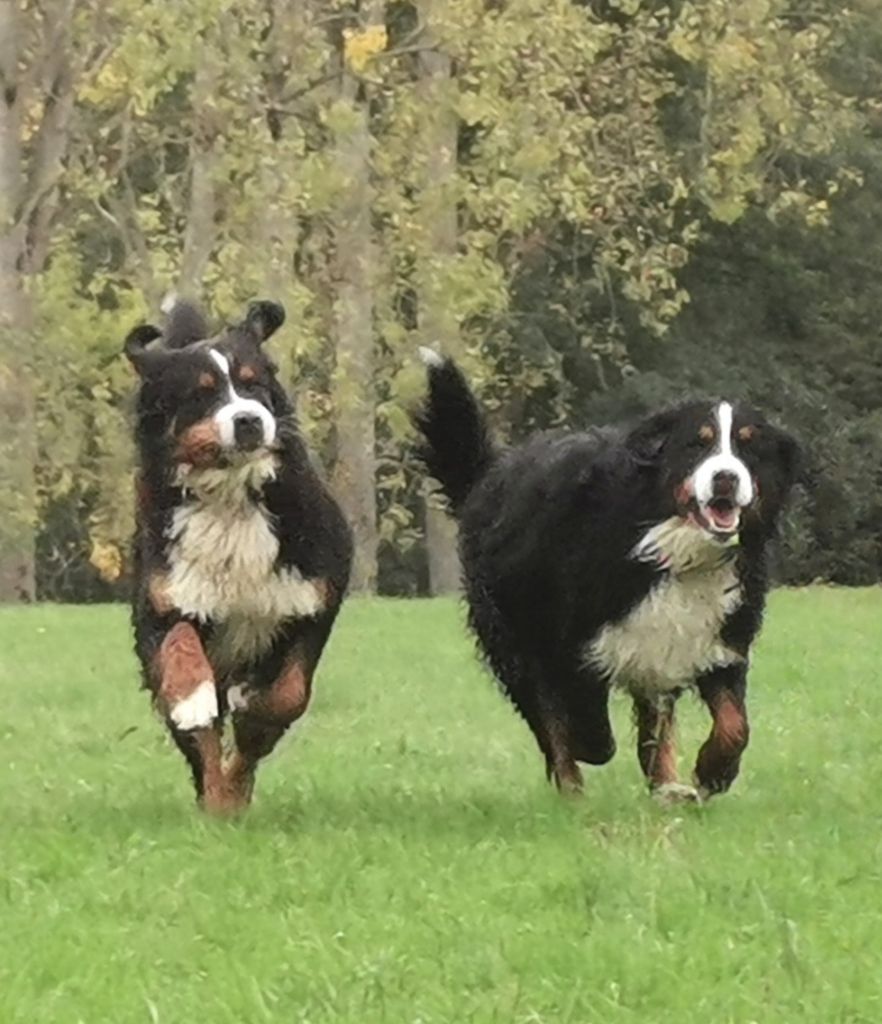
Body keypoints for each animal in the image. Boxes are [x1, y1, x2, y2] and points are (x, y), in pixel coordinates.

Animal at [126, 299, 350, 815]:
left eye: (253, 384)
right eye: (202, 393)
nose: (248, 419)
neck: (232, 497)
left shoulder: (311, 604)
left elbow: (285, 696)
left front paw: (254, 710)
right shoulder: (164, 599)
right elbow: (180, 649)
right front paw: (192, 698)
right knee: (204, 748)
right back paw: (218, 801)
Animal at [415, 352, 803, 798]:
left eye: (748, 446)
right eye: (698, 443)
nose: (726, 476)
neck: (669, 546)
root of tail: (490, 473)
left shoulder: (718, 641)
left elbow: (734, 724)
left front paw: (713, 772)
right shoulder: (569, 643)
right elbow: (585, 729)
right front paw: (589, 747)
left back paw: (666, 787)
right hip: (515, 638)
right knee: (548, 722)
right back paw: (575, 789)